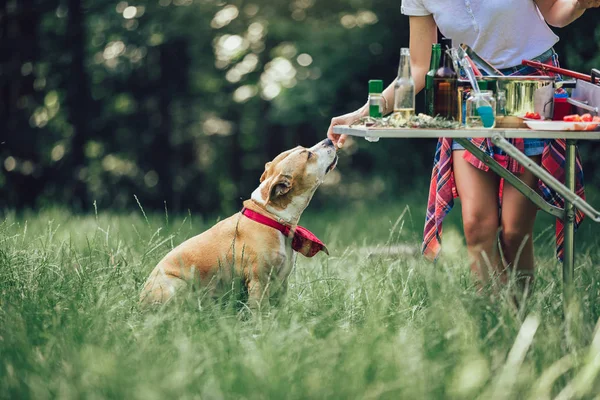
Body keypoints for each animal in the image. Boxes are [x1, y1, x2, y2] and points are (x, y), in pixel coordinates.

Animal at [141, 139, 338, 310]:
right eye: (308, 154)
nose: (329, 140)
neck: (271, 216)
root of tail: (141, 301)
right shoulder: (259, 282)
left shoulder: (282, 284)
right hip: (176, 285)